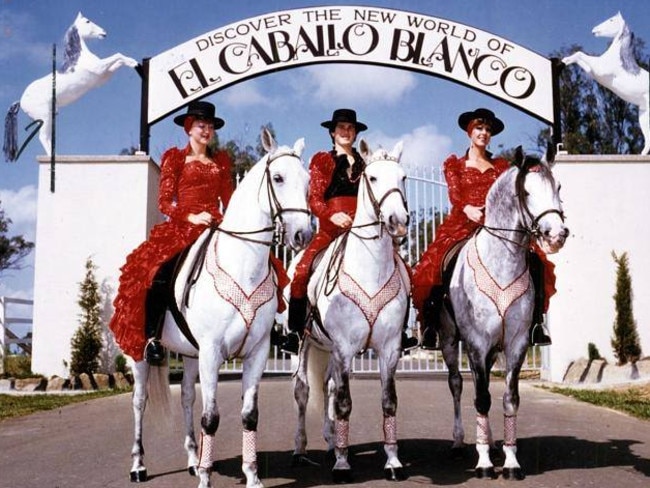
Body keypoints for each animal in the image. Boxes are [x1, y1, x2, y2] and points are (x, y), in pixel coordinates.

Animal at [3, 11, 137, 161]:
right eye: (87, 21)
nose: (104, 32)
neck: (78, 59)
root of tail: (21, 101)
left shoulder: (103, 76)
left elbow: (118, 61)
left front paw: (133, 62)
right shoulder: (100, 68)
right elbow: (117, 55)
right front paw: (134, 63)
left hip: (46, 118)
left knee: (48, 138)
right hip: (45, 117)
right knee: (43, 137)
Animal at [128, 127, 310, 486]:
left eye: (309, 180)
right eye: (278, 178)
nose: (303, 234)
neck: (243, 264)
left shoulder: (255, 352)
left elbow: (249, 416)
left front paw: (251, 476)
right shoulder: (212, 352)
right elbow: (211, 417)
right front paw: (206, 479)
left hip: (189, 354)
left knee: (186, 397)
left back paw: (192, 460)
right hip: (138, 352)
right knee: (139, 402)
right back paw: (139, 466)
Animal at [292, 139, 408, 482]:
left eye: (403, 177)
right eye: (372, 178)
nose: (399, 221)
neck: (371, 269)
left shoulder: (389, 349)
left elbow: (388, 402)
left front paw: (393, 461)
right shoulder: (344, 348)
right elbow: (344, 404)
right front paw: (343, 466)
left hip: (327, 350)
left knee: (327, 387)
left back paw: (332, 444)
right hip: (305, 344)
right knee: (303, 391)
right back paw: (301, 451)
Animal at [560, 11, 644, 153]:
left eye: (611, 20)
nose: (594, 30)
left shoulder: (599, 69)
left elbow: (580, 53)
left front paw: (564, 60)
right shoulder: (593, 71)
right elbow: (580, 58)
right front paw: (565, 61)